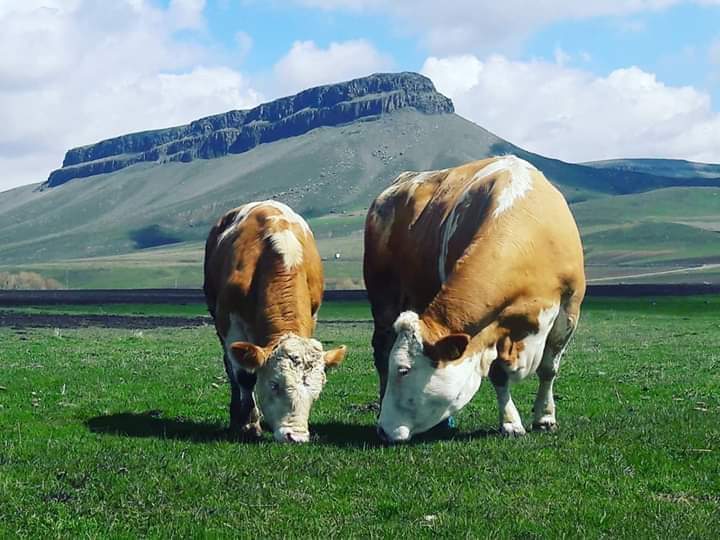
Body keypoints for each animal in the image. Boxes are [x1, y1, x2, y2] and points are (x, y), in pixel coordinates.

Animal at [204, 200, 348, 440]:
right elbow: (244, 376)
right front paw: (249, 425)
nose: (296, 436)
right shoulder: (230, 322)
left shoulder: (312, 316)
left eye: (317, 391)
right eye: (274, 385)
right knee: (231, 368)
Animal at [362, 156, 588, 442]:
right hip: (383, 299)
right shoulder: (491, 328)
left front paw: (545, 418)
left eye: (404, 369)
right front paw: (510, 423)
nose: (383, 430)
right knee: (380, 350)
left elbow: (549, 368)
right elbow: (499, 373)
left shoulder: (569, 308)